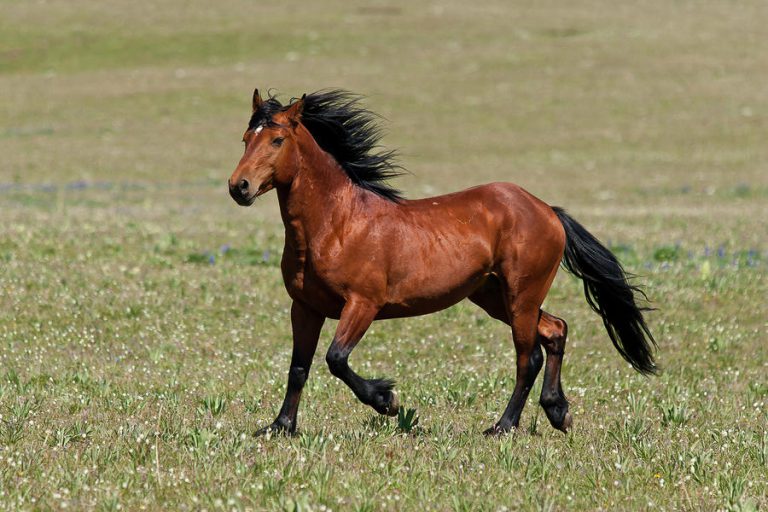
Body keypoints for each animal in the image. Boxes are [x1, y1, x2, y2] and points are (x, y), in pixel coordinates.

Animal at [226, 89, 656, 436]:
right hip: (493, 295)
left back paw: (502, 426)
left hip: (521, 294)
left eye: (277, 139)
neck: (337, 224)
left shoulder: (363, 304)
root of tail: (546, 210)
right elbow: (298, 368)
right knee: (555, 330)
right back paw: (558, 412)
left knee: (528, 355)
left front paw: (386, 400)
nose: (238, 187)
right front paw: (280, 427)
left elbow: (336, 358)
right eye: (246, 138)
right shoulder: (305, 307)